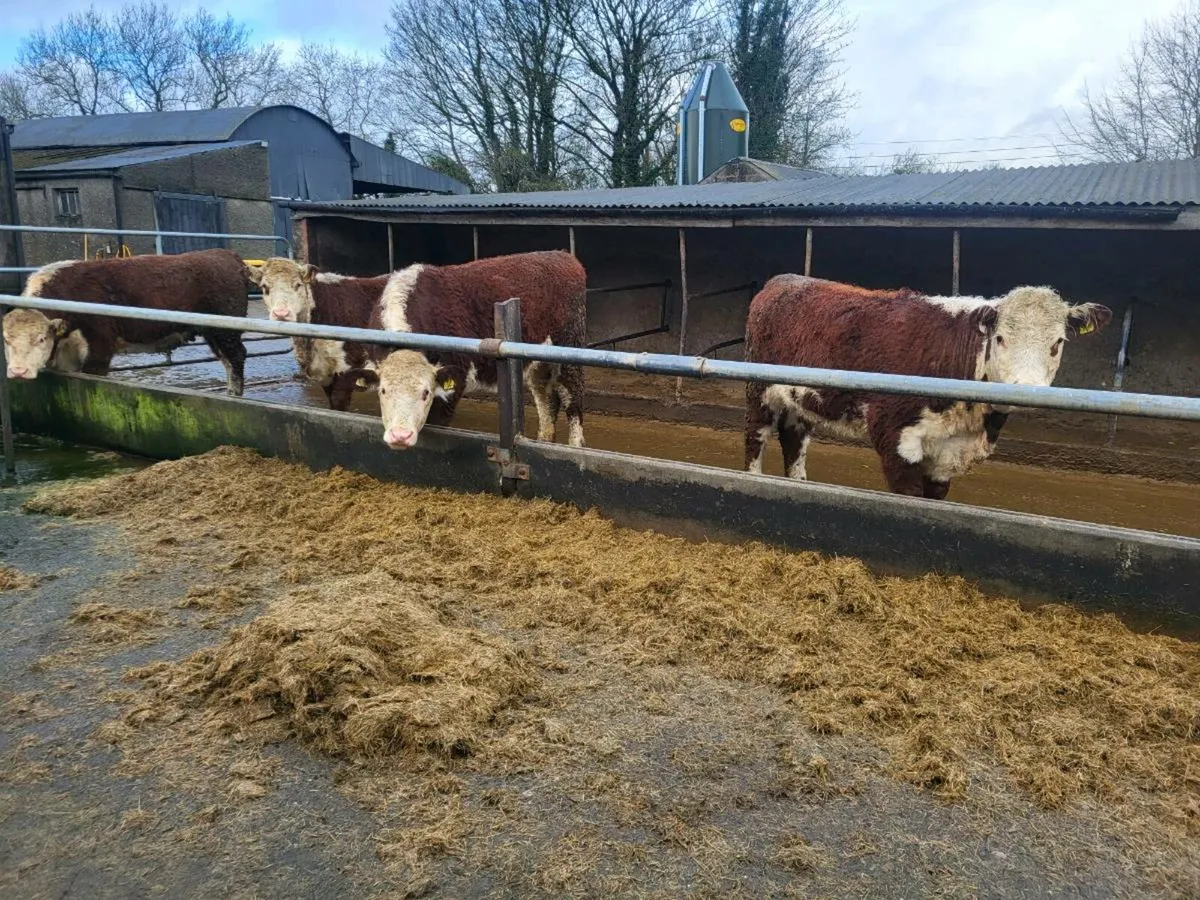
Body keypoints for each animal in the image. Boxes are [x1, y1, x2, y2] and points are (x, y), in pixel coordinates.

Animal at [4, 249, 251, 395]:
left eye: (41, 338)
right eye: (6, 340)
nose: (18, 371)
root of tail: (224, 254)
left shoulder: (99, 348)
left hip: (226, 331)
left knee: (236, 357)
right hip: (212, 332)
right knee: (227, 360)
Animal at [365, 250, 587, 450]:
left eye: (425, 393)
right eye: (383, 390)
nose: (400, 436)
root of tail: (564, 256)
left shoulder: (453, 381)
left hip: (569, 349)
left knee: (572, 399)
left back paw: (576, 447)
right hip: (539, 360)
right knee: (546, 399)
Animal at [744, 276, 1112, 499]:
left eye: (1058, 342)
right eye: (1001, 338)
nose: (1027, 389)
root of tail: (785, 280)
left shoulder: (946, 458)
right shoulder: (897, 440)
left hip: (801, 399)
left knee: (795, 441)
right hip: (759, 392)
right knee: (756, 438)